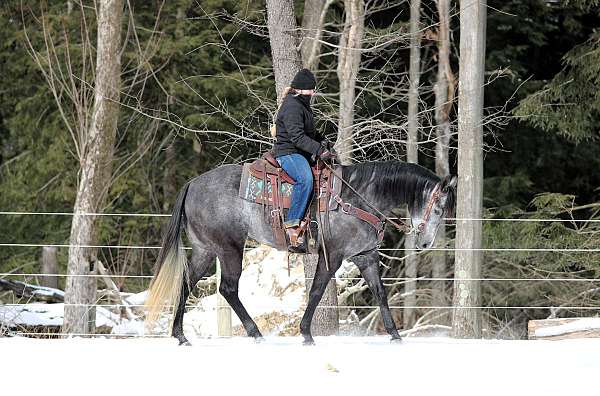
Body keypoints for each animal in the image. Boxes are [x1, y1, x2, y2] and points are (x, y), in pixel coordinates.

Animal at [144, 159, 454, 344]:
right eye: (439, 208)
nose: (426, 244)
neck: (358, 198)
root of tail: (192, 184)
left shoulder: (365, 257)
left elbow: (380, 293)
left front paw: (395, 334)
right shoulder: (332, 256)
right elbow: (316, 291)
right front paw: (306, 334)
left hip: (205, 250)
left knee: (186, 284)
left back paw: (180, 335)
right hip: (229, 249)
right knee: (228, 289)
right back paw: (256, 333)